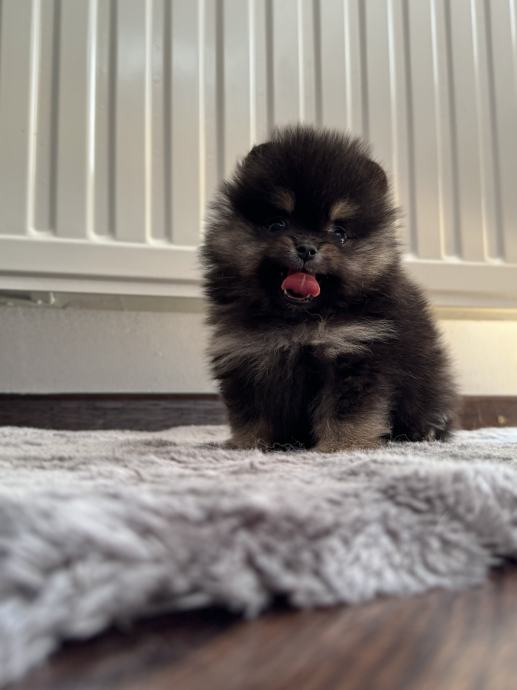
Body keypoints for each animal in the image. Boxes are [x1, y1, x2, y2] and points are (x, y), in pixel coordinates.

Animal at [201, 125, 458, 451]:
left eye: (339, 233)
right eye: (277, 224)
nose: (307, 247)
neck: (296, 321)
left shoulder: (353, 352)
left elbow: (347, 412)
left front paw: (343, 447)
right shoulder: (246, 356)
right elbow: (252, 414)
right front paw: (251, 445)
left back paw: (427, 432)